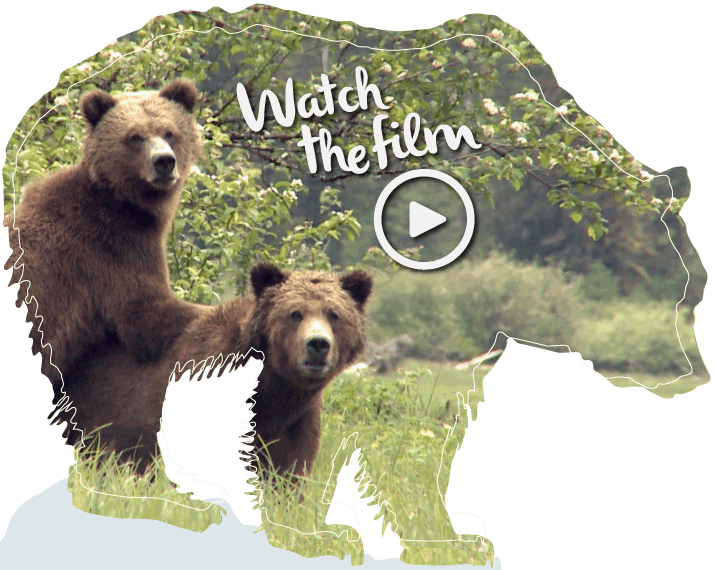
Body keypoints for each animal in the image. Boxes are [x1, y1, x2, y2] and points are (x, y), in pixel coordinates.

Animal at [4, 79, 207, 395]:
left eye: (170, 132)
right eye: (135, 136)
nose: (164, 162)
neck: (125, 205)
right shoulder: (108, 251)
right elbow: (149, 315)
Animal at [58, 262, 372, 479]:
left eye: (334, 314)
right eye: (295, 313)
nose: (317, 344)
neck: (272, 392)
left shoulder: (297, 423)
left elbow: (287, 475)